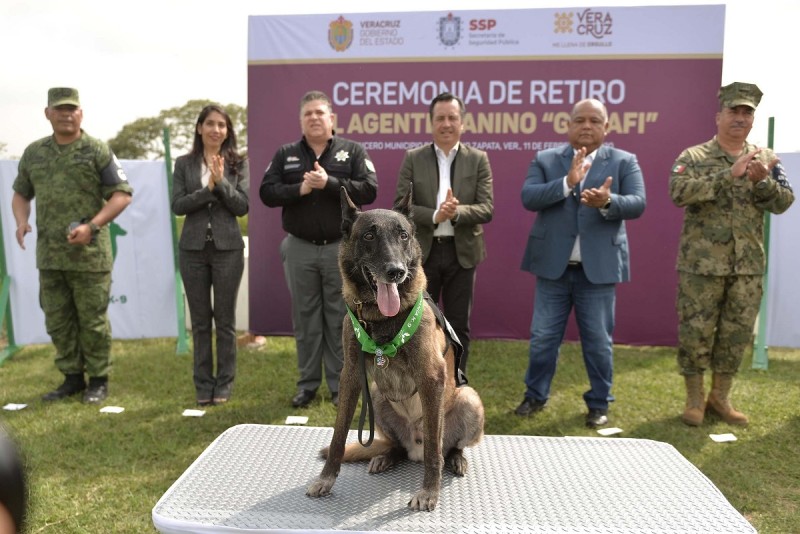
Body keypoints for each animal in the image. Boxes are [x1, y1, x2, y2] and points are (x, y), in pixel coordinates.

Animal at [304, 187, 482, 510]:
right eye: (368, 236)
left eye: (403, 235)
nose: (395, 272)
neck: (380, 320)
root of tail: (413, 448)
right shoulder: (351, 376)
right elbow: (338, 435)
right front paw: (326, 479)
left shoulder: (431, 378)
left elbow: (434, 448)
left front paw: (429, 491)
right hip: (376, 395)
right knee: (395, 445)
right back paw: (385, 457)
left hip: (469, 399)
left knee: (444, 447)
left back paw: (455, 459)